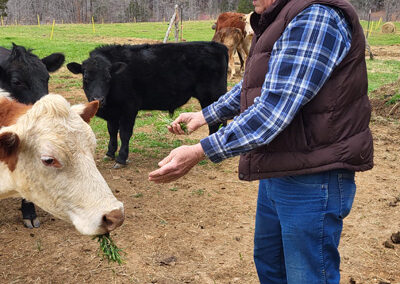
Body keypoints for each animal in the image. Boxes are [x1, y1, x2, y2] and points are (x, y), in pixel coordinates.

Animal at [67, 42, 227, 169]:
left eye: (108, 77)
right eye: (86, 77)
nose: (98, 99)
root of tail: (216, 45)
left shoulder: (129, 108)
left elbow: (124, 134)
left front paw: (121, 158)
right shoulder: (113, 113)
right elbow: (111, 131)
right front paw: (110, 153)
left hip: (211, 96)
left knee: (215, 122)